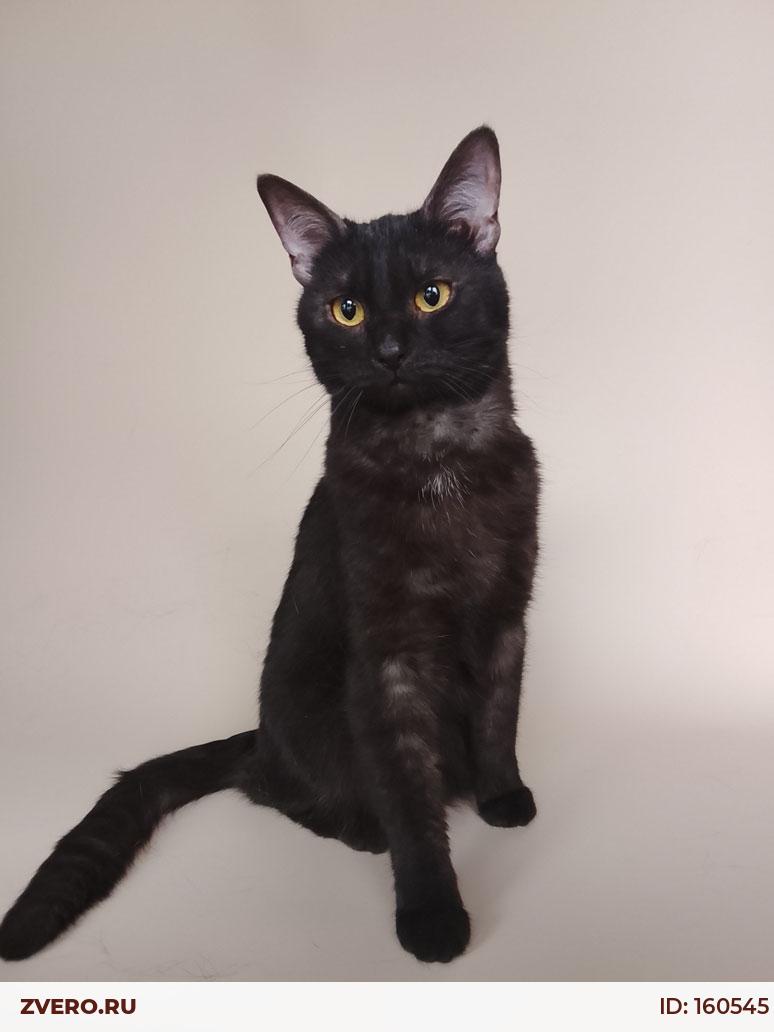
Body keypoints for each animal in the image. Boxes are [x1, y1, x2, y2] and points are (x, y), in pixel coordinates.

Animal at [0, 125, 540, 965]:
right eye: (346, 309)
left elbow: (498, 715)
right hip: (305, 715)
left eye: (433, 294)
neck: (439, 462)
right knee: (278, 791)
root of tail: (258, 738)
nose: (389, 348)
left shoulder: (506, 613)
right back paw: (358, 827)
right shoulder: (385, 660)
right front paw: (431, 916)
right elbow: (409, 796)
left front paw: (501, 795)